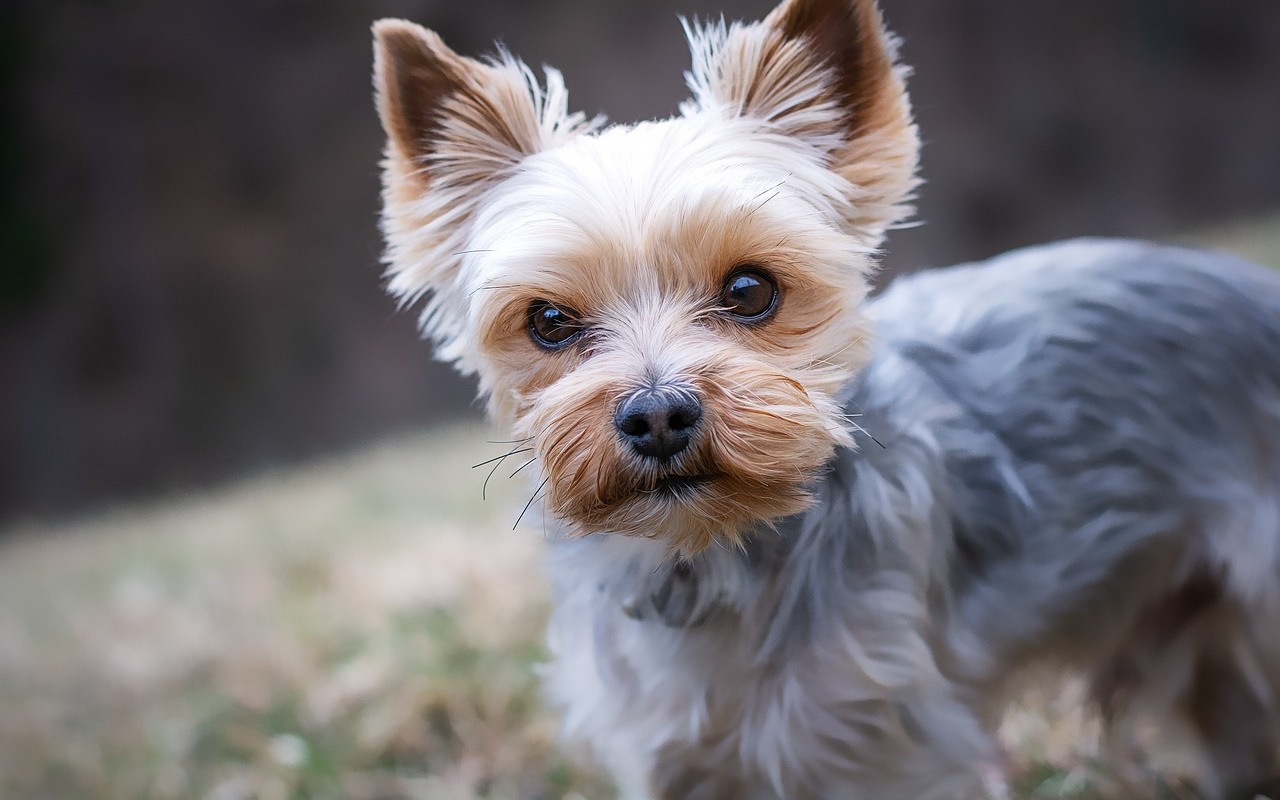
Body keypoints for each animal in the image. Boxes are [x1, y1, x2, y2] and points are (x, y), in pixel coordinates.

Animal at [368, 1, 1280, 793]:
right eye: (549, 321)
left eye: (750, 289)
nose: (658, 415)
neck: (711, 556)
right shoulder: (670, 757)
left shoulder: (885, 748)